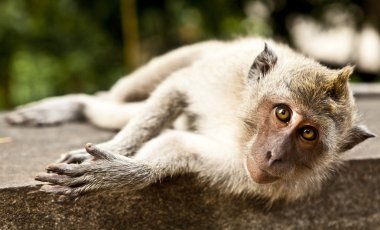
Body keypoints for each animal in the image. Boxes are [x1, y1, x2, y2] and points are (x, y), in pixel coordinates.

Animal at [5, 37, 374, 203]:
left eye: (308, 134)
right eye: (283, 113)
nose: (275, 156)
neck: (239, 127)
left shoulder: (249, 169)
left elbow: (180, 145)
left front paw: (123, 172)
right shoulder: (220, 74)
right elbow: (177, 87)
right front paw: (118, 148)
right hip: (200, 49)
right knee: (120, 97)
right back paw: (77, 105)